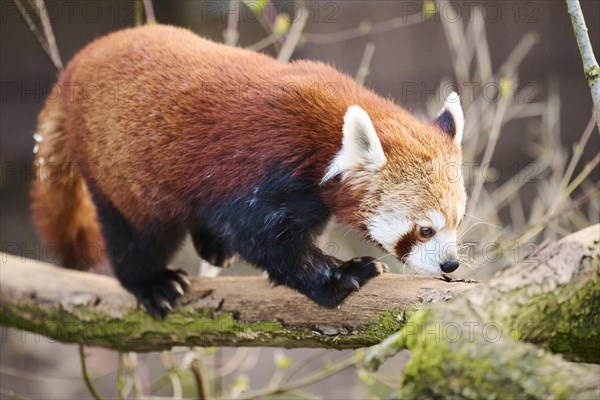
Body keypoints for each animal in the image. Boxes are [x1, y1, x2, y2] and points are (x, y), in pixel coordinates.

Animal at [30, 25, 466, 318]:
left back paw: (211, 247)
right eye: (424, 230)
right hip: (121, 169)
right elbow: (265, 240)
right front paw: (343, 277)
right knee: (136, 234)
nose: (450, 264)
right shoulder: (263, 168)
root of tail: (79, 62)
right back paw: (152, 283)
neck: (326, 133)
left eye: (457, 222)